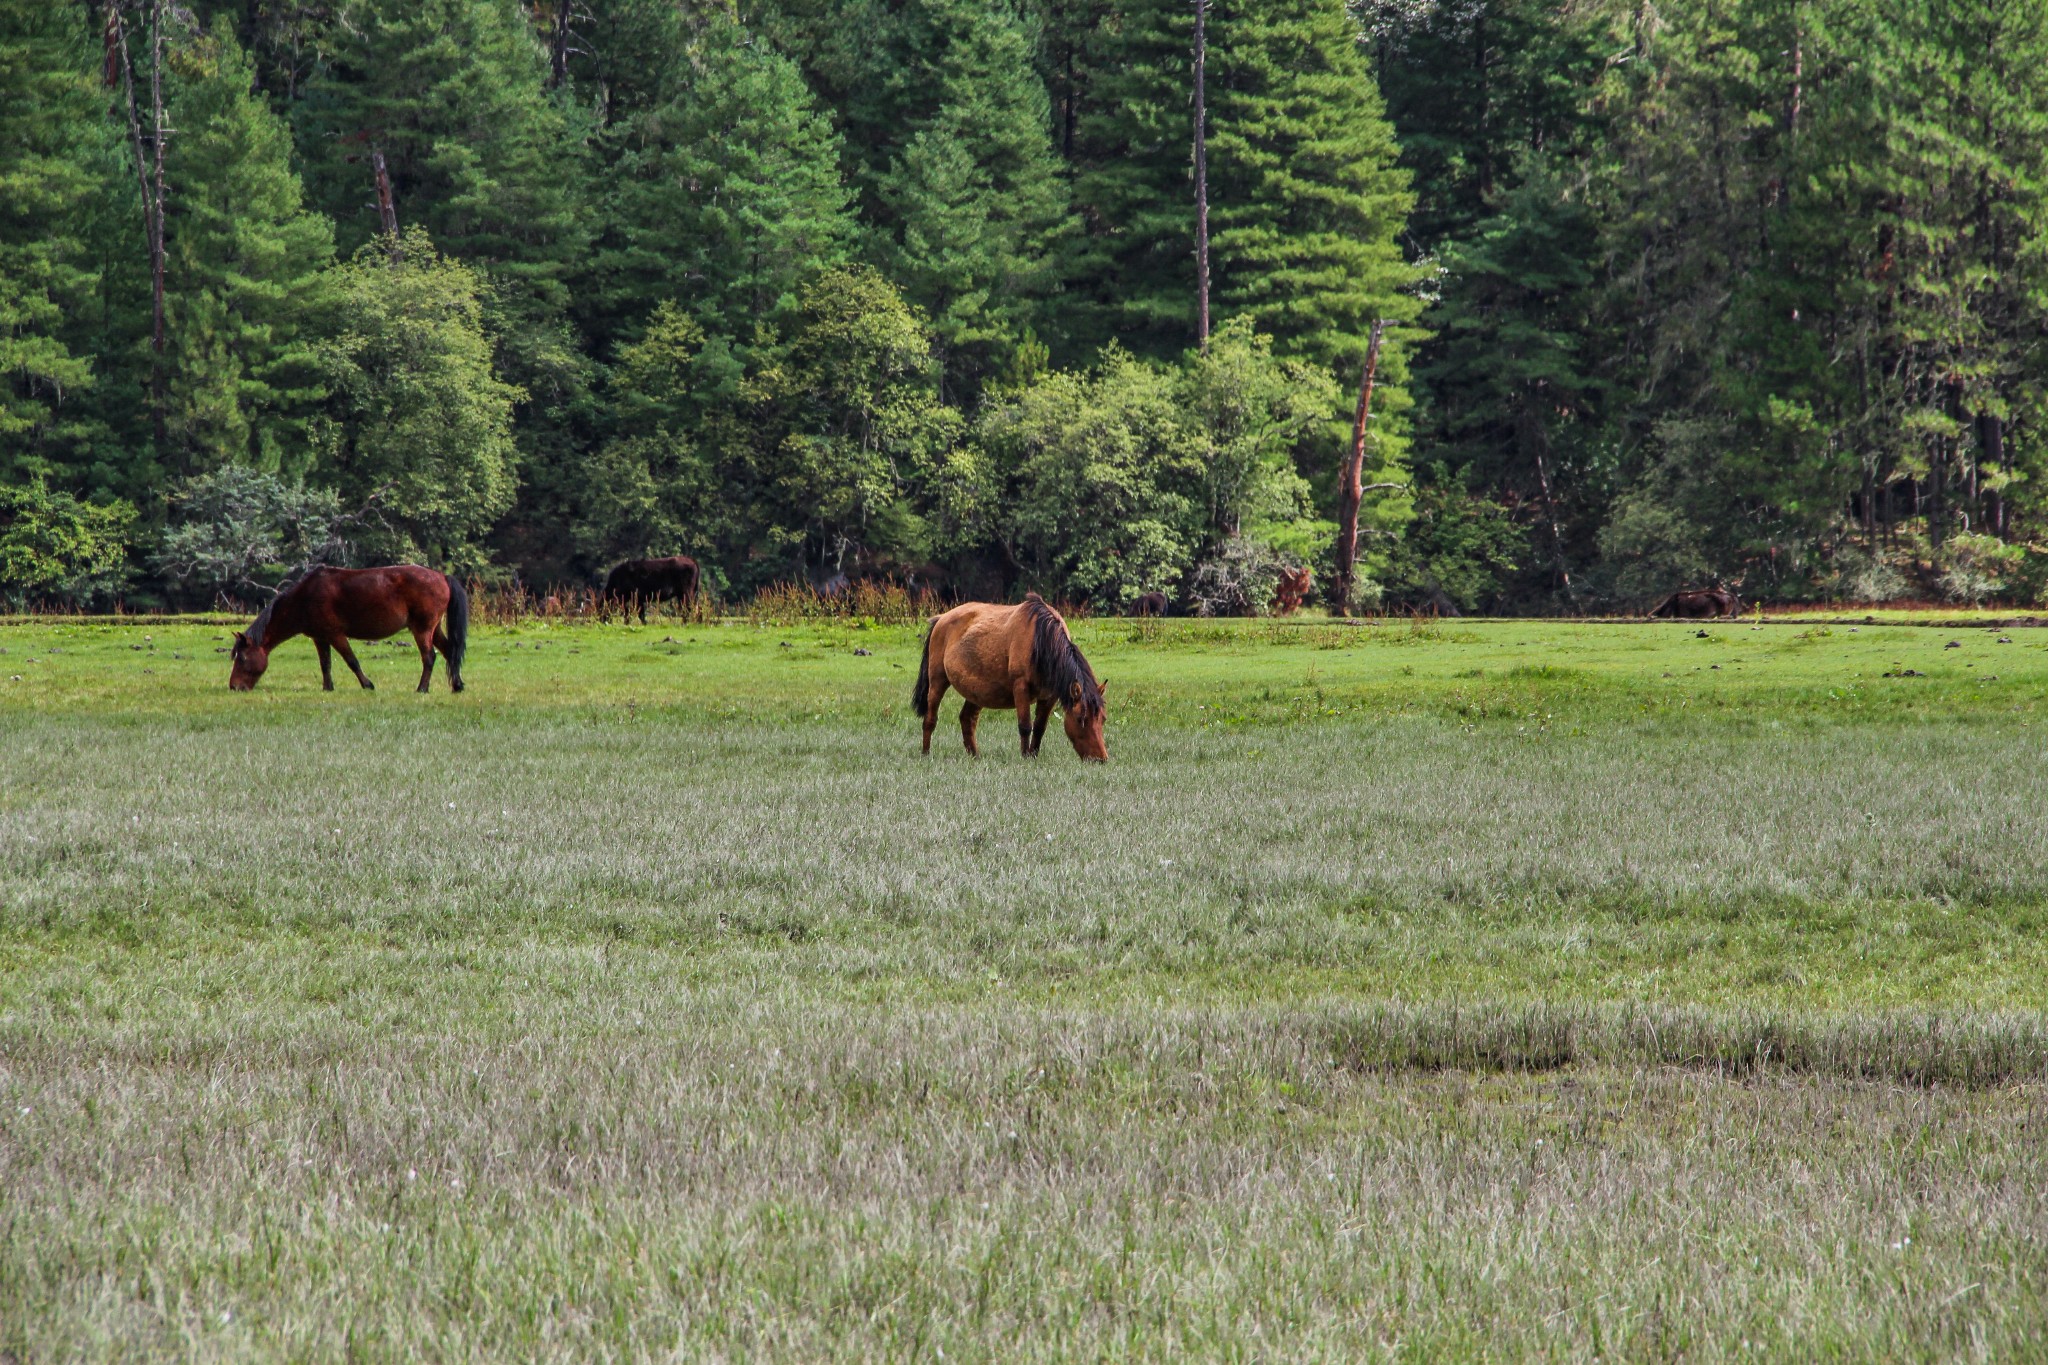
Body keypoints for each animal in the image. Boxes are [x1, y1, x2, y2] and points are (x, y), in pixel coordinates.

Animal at [230, 564, 468, 695]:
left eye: (242, 658)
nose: (234, 687)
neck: (305, 597)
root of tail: (442, 576)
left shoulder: (336, 634)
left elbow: (352, 661)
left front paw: (367, 685)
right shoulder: (320, 638)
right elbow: (325, 664)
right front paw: (327, 687)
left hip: (423, 629)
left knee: (429, 657)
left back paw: (422, 688)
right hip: (434, 630)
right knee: (450, 652)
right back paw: (457, 685)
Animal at [913, 593, 1105, 765]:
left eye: (1102, 719)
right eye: (1080, 719)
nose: (1100, 759)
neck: (1040, 641)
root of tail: (941, 619)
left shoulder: (1049, 696)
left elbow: (1040, 727)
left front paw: (1034, 756)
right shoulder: (1020, 687)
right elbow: (1025, 726)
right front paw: (1025, 757)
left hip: (977, 692)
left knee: (967, 719)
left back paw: (975, 756)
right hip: (937, 681)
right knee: (930, 719)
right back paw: (925, 754)